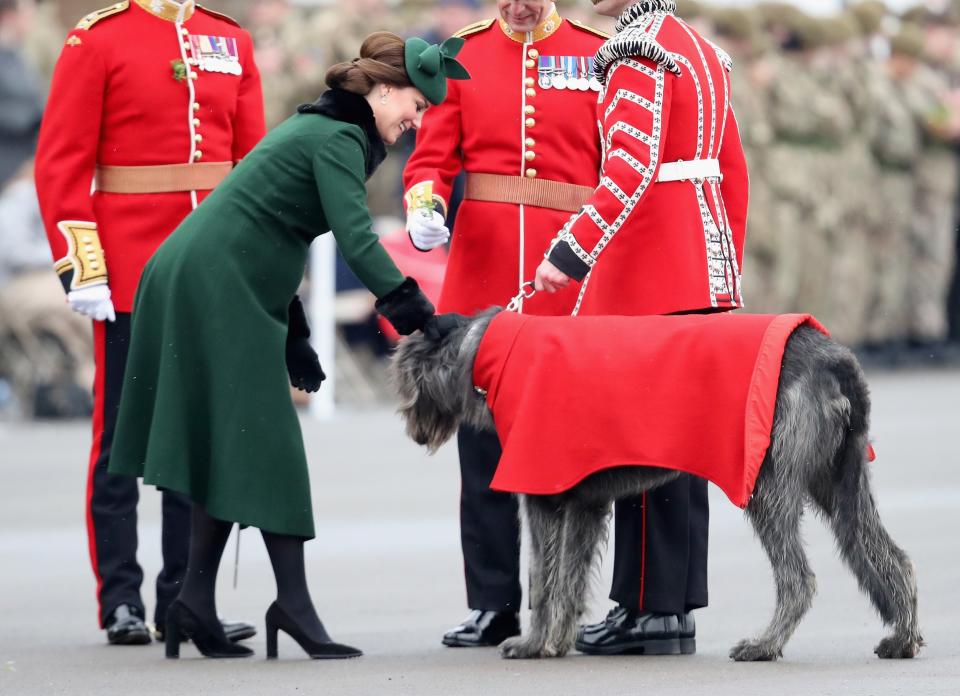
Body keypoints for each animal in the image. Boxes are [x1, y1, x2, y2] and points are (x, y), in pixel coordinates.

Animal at [390, 310, 924, 664]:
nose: (412, 429)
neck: (489, 350)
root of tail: (835, 357)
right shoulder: (584, 503)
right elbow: (569, 578)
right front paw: (557, 640)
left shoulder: (542, 494)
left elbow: (543, 580)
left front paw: (533, 643)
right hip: (841, 483)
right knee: (889, 557)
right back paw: (902, 637)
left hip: (768, 486)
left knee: (798, 579)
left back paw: (764, 644)